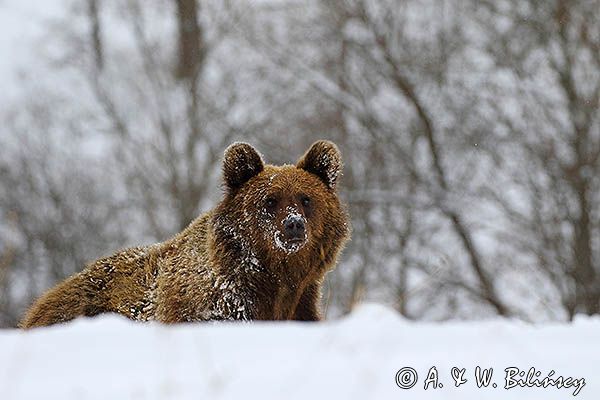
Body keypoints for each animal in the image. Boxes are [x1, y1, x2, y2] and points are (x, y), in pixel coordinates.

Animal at [19, 141, 352, 328]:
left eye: (306, 199)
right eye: (270, 200)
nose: (294, 224)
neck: (275, 278)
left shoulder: (300, 304)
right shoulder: (211, 308)